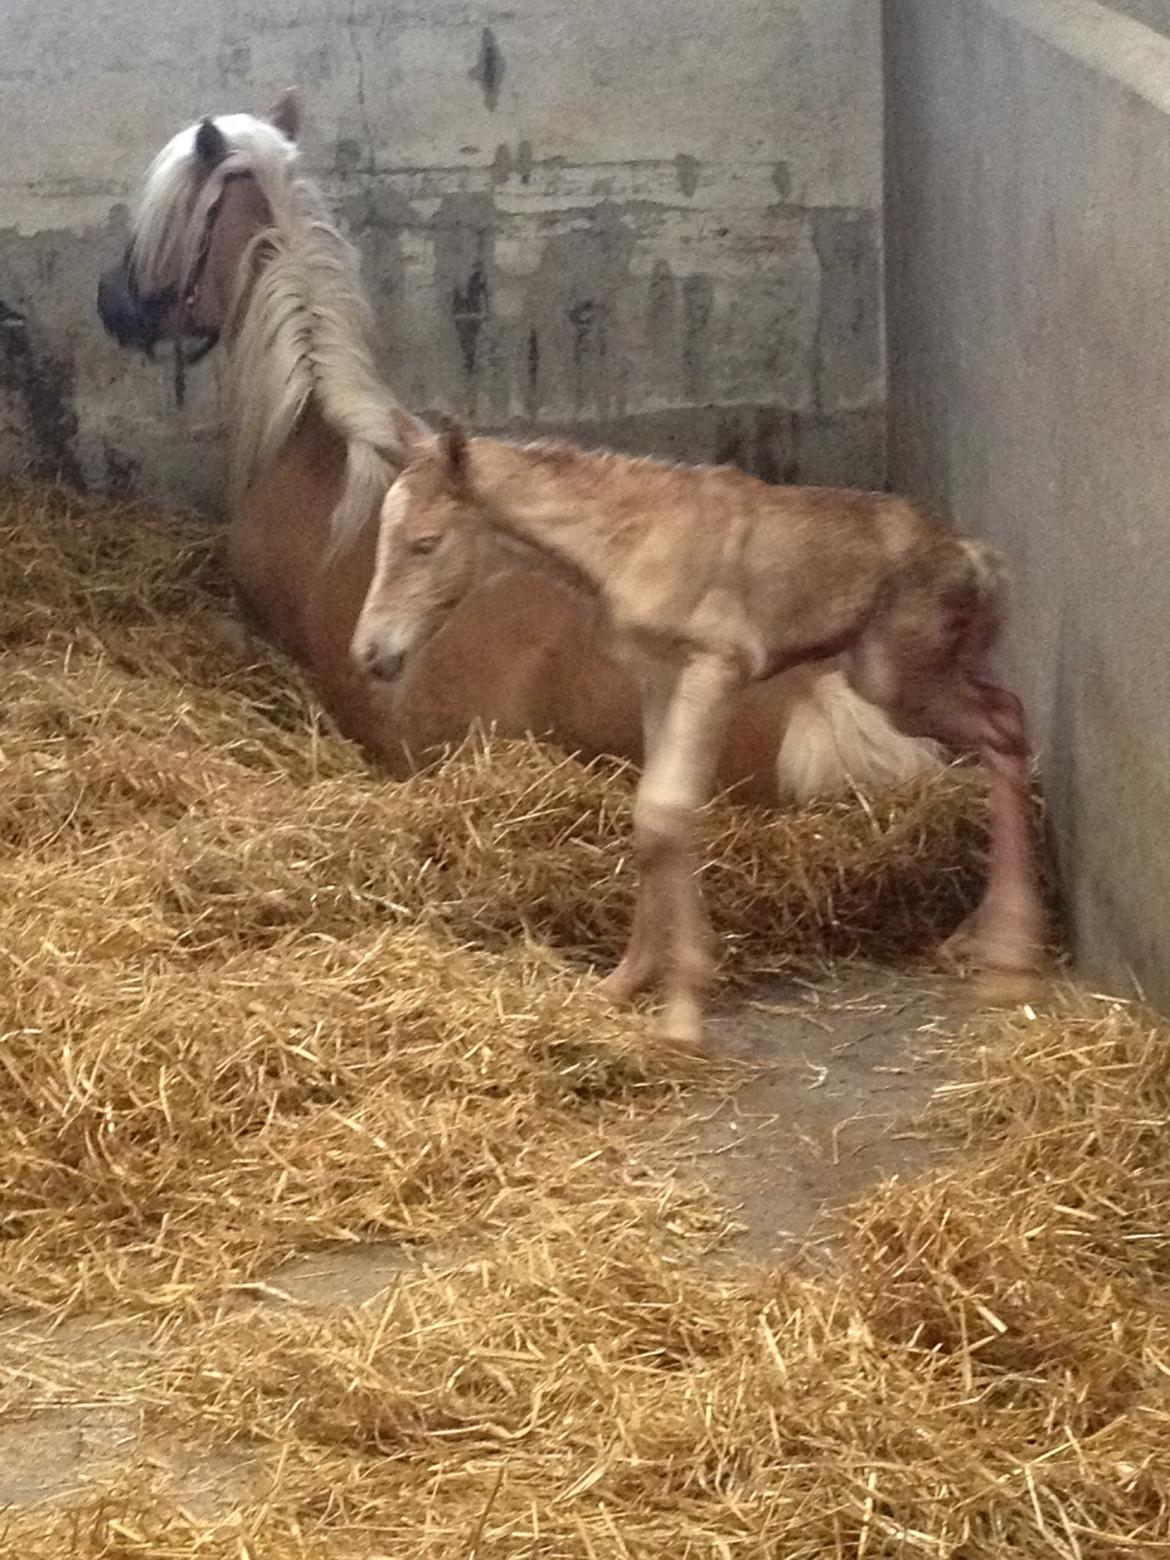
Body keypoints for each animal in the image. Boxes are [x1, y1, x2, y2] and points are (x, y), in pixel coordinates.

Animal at [352, 418, 1048, 1048]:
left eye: (424, 542)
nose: (370, 654)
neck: (626, 539)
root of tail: (975, 557)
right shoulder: (657, 680)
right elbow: (652, 819)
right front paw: (627, 980)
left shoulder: (716, 667)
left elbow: (667, 810)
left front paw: (683, 1010)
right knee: (1006, 722)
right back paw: (989, 946)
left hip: (899, 680)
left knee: (1003, 724)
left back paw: (1010, 963)